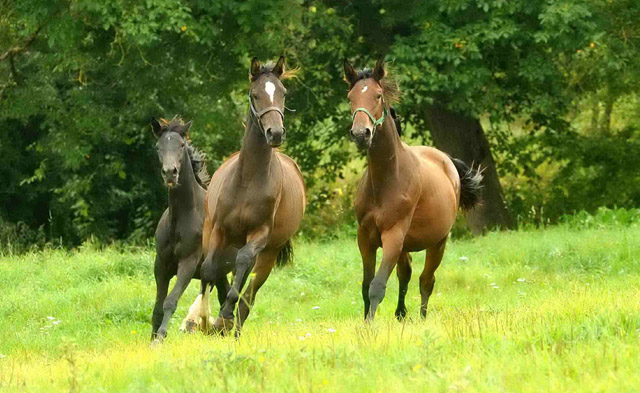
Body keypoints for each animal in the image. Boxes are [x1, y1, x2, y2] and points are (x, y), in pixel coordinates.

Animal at [149, 115, 231, 344]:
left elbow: (170, 301)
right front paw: (152, 338)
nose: (170, 173)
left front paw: (160, 338)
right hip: (217, 272)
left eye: (181, 145)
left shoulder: (187, 263)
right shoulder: (161, 264)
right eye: (158, 146)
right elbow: (158, 306)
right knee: (223, 295)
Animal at [199, 56, 306, 336]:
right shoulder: (218, 230)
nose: (275, 133)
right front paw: (200, 318)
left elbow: (243, 266)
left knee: (248, 293)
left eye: (282, 93)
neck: (246, 181)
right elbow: (209, 270)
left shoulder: (260, 235)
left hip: (268, 254)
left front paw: (222, 316)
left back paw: (230, 325)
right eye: (255, 94)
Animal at [342, 56, 482, 320]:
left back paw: (422, 317)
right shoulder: (365, 238)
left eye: (377, 95)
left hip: (438, 243)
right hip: (405, 245)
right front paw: (365, 321)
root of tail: (447, 160)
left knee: (426, 280)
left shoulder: (393, 236)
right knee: (405, 274)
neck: (386, 181)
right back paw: (401, 314)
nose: (361, 133)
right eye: (350, 96)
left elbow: (377, 286)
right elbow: (366, 285)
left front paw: (370, 325)